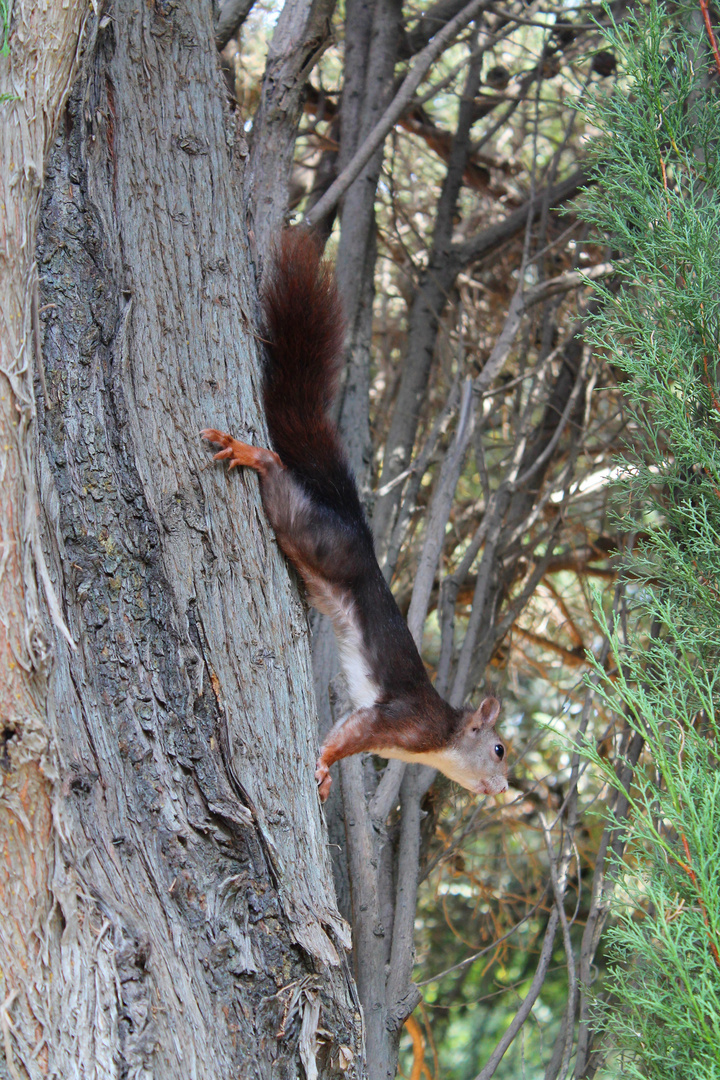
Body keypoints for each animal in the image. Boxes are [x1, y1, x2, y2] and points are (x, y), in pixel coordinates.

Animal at [199, 227, 509, 803]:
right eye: (498, 749)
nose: (502, 788)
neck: (440, 741)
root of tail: (358, 529)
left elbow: (346, 732)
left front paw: (322, 778)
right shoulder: (399, 721)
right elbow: (348, 735)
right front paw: (323, 763)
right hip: (317, 538)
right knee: (279, 479)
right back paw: (252, 453)